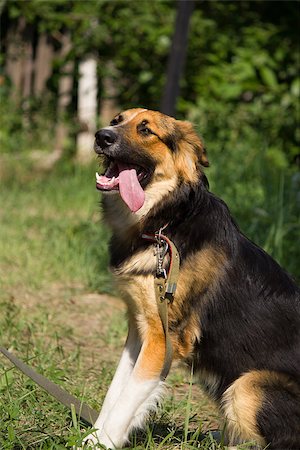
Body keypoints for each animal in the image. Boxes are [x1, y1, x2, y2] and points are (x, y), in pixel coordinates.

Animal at [82, 108, 300, 446]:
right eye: (117, 120)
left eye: (146, 130)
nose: (101, 135)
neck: (166, 221)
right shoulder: (139, 330)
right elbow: (115, 394)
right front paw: (93, 437)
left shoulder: (163, 339)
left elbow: (125, 403)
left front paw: (100, 443)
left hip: (248, 384)